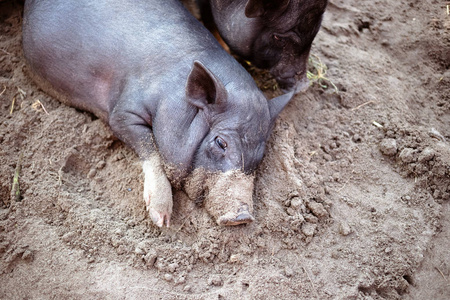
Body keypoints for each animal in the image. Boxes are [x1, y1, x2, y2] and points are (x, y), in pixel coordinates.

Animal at [22, 0, 294, 226]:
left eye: (260, 155)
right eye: (220, 142)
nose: (242, 217)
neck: (175, 98)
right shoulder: (122, 112)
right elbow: (150, 147)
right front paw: (161, 220)